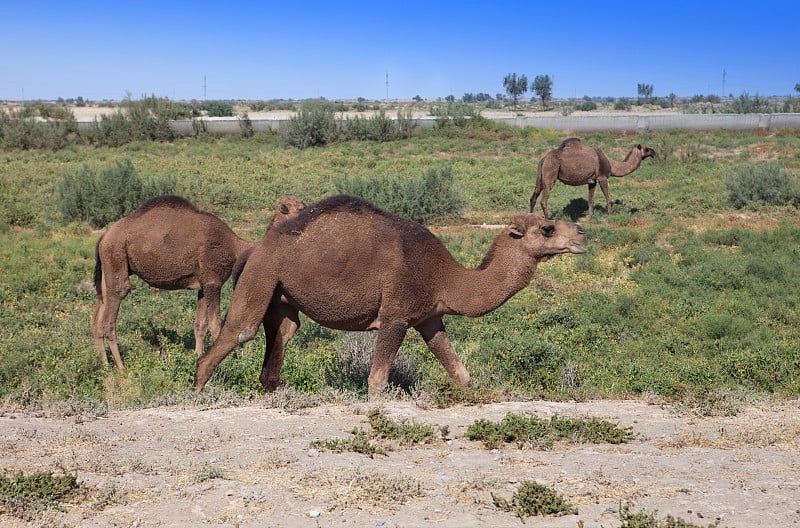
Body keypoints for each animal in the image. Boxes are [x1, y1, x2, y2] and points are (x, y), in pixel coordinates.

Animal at [91, 192, 306, 370]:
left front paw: (198, 355)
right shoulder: (213, 282)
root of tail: (103, 237)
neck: (236, 248)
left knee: (97, 315)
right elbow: (216, 325)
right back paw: (121, 367)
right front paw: (231, 361)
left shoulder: (203, 285)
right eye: (300, 209)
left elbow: (200, 325)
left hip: (109, 265)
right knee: (113, 310)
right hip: (116, 255)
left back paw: (105, 365)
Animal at [191, 194, 584, 396]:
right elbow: (377, 380)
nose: (580, 233)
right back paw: (197, 394)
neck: (447, 276)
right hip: (261, 276)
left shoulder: (429, 317)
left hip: (280, 294)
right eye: (547, 229)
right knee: (238, 332)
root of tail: (254, 248)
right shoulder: (396, 314)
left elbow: (460, 372)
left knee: (283, 335)